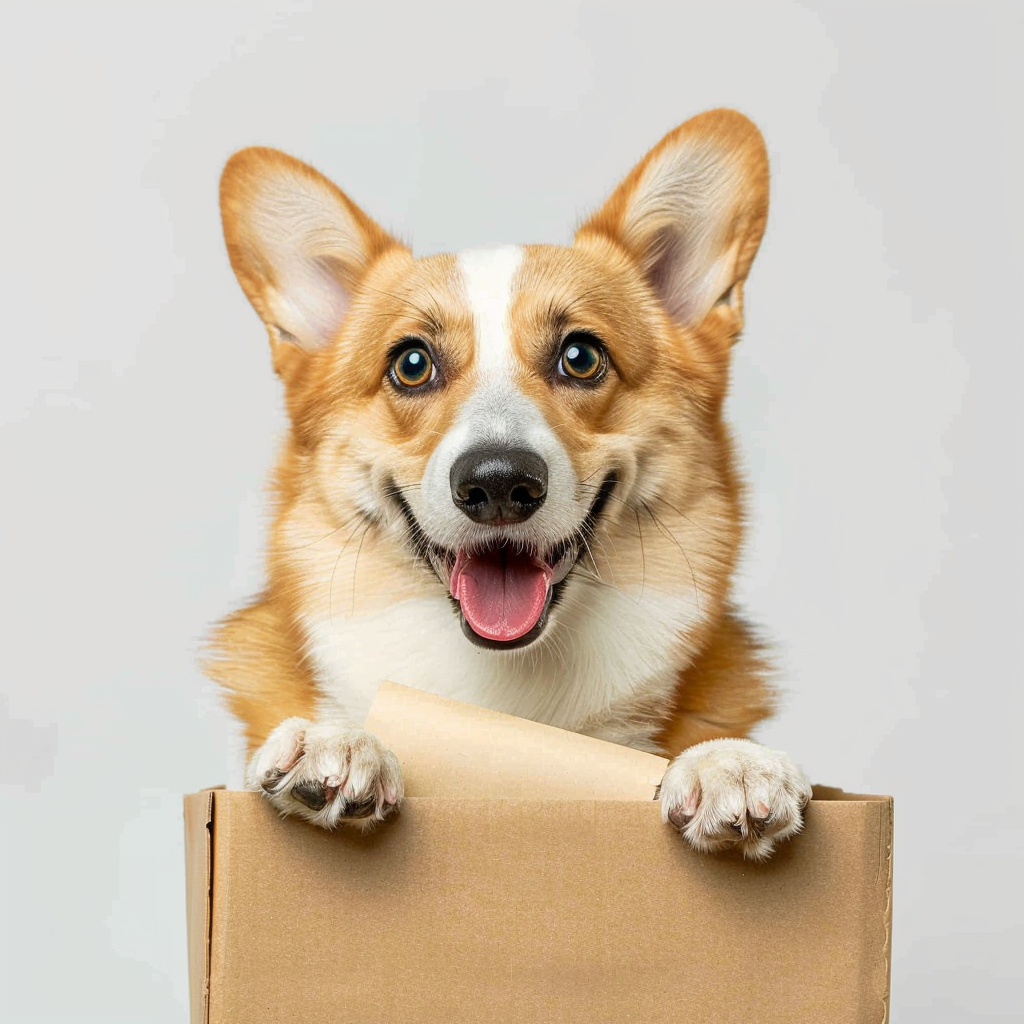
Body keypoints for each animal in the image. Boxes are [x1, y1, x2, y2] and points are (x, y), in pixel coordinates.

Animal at [207, 105, 811, 856]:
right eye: (411, 364)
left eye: (581, 356)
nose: (498, 484)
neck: (505, 706)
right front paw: (340, 743)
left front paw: (725, 761)